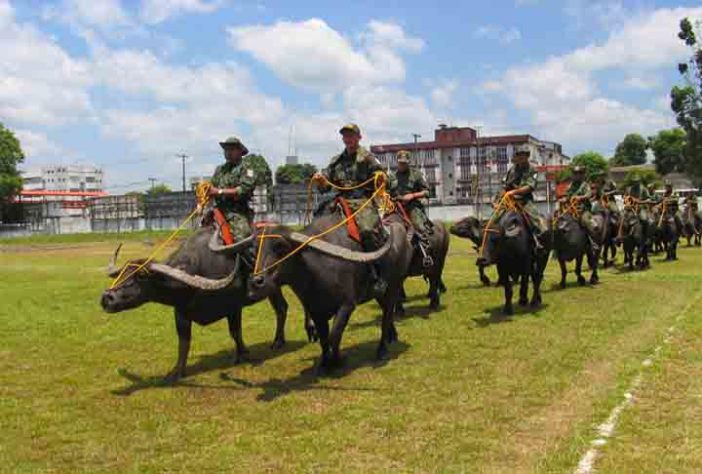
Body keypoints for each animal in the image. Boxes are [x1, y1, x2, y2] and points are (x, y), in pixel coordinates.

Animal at [99, 227, 296, 382]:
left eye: (140, 276)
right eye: (122, 274)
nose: (106, 298)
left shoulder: (233, 307)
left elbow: (235, 332)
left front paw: (241, 355)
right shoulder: (181, 313)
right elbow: (183, 342)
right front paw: (177, 371)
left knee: (283, 308)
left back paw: (278, 342)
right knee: (281, 308)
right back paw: (278, 341)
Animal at [249, 213, 416, 372]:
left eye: (280, 246)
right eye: (256, 249)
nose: (256, 282)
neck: (316, 269)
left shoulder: (347, 305)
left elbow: (334, 335)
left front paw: (337, 361)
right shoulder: (315, 310)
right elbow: (323, 338)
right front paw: (324, 363)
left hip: (394, 286)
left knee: (386, 315)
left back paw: (382, 350)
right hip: (380, 294)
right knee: (386, 313)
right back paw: (392, 336)